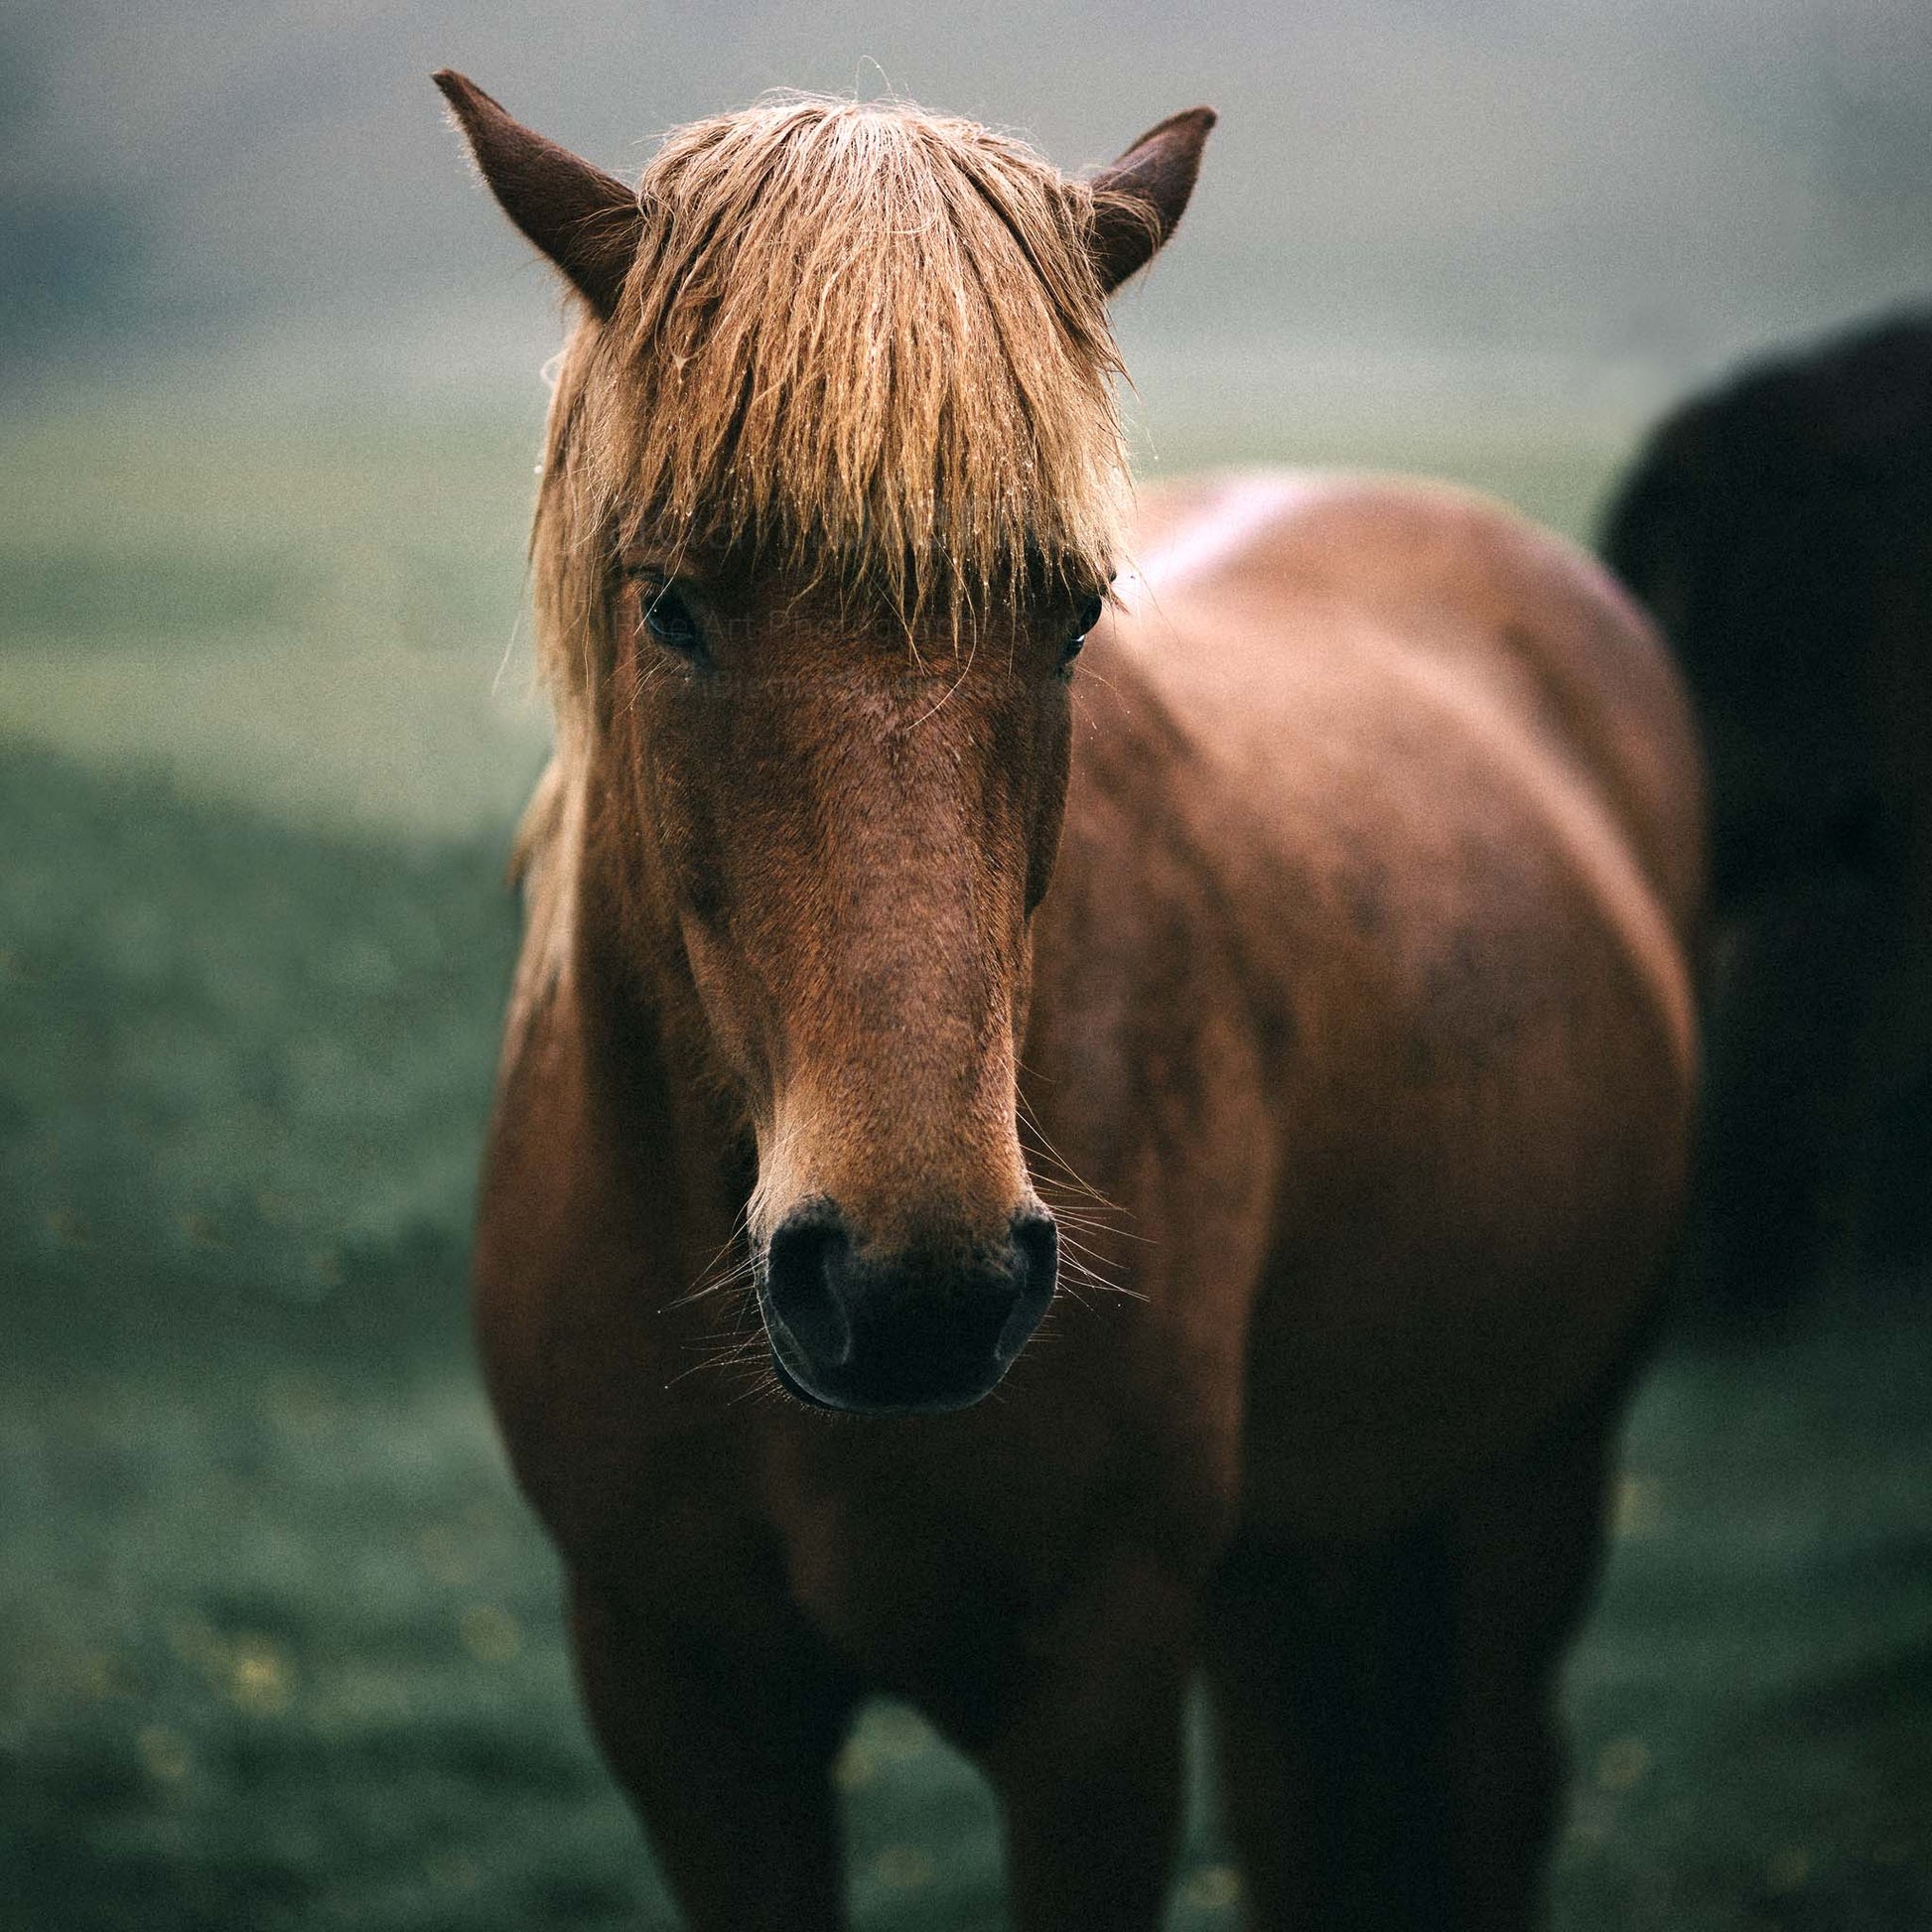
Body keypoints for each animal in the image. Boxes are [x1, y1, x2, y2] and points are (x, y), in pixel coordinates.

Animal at [437, 70, 1704, 1930]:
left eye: (1072, 615)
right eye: (668, 603)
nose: (911, 1288)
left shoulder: (1093, 1696)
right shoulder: (682, 1702)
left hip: (1532, 1477)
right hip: (1287, 1568)